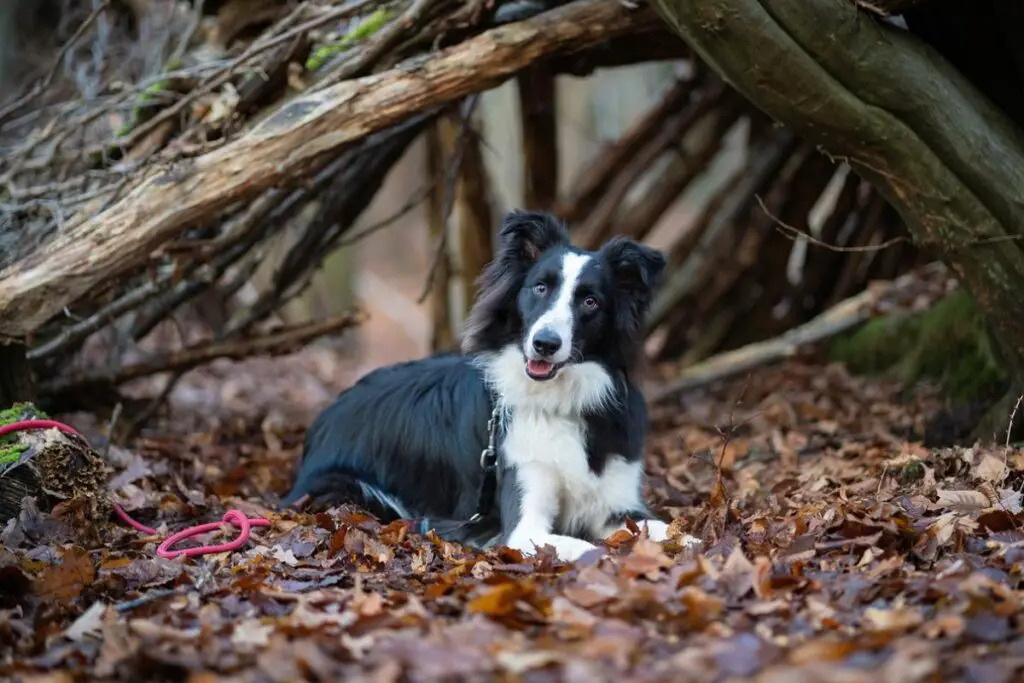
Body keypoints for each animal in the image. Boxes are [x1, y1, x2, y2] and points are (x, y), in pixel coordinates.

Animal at [282, 209, 679, 561]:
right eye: (539, 288)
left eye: (591, 301)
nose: (545, 344)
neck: (560, 400)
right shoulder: (522, 521)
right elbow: (581, 545)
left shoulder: (617, 505)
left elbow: (661, 528)